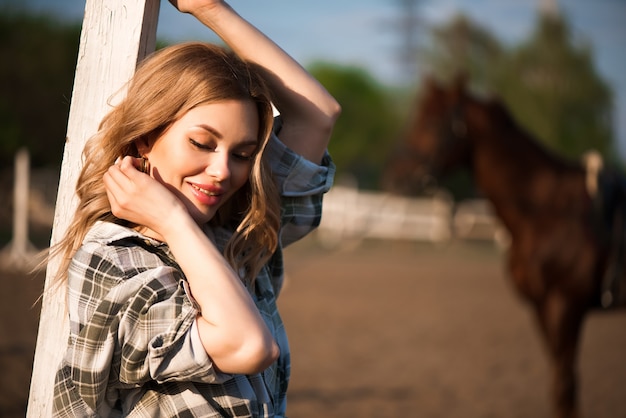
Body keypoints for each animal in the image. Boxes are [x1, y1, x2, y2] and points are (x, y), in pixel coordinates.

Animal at [380, 76, 624, 418]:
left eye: (431, 123)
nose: (393, 177)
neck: (550, 210)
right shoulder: (542, 307)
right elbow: (560, 386)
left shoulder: (566, 305)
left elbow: (565, 388)